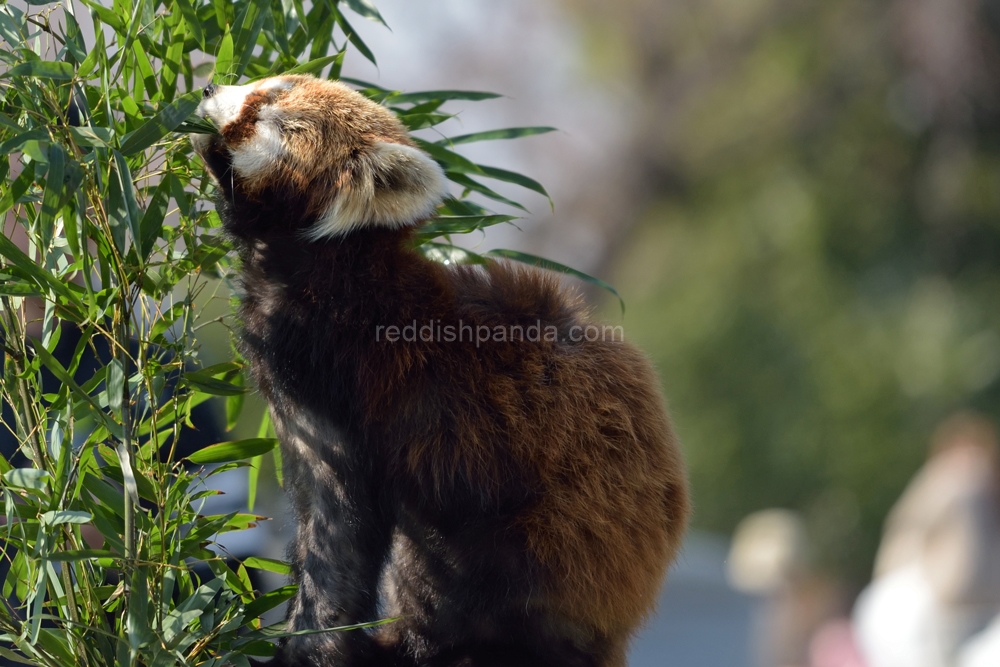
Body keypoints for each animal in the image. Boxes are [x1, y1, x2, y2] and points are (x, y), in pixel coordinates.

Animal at [193, 73, 688, 667]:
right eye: (265, 84)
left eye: (272, 117)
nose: (211, 86)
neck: (327, 273)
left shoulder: (346, 390)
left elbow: (340, 532)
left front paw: (307, 644)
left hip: (541, 543)